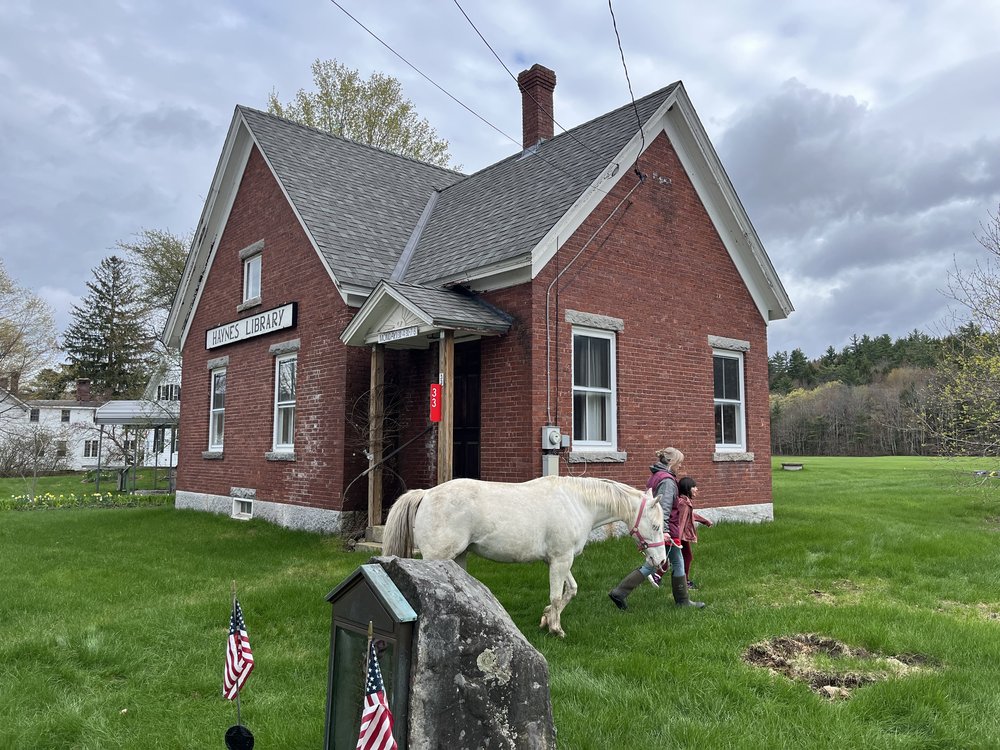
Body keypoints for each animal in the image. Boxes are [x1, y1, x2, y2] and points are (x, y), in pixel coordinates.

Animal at [380, 476, 664, 636]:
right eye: (657, 526)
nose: (660, 562)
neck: (577, 502)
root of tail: (426, 494)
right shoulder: (561, 559)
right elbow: (557, 595)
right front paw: (556, 629)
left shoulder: (559, 560)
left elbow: (570, 591)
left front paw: (547, 617)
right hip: (436, 558)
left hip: (456, 559)